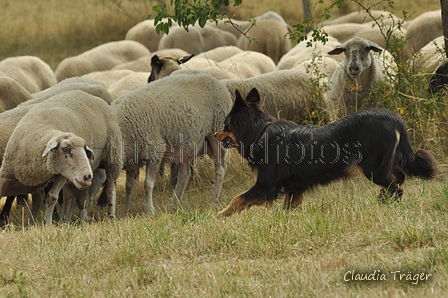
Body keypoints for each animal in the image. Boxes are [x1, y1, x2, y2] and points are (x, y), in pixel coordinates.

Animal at [112, 70, 233, 214]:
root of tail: (214, 80)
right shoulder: (132, 161)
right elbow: (128, 187)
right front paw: (127, 210)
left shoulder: (155, 152)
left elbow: (147, 185)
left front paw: (150, 211)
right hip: (185, 148)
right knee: (184, 175)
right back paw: (173, 204)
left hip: (216, 133)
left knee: (220, 168)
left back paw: (213, 199)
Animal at [214, 87, 438, 215]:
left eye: (225, 125)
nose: (215, 134)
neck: (259, 132)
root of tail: (395, 118)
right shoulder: (295, 187)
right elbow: (288, 208)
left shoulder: (266, 185)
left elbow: (237, 199)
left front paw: (220, 215)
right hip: (384, 164)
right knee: (399, 178)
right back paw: (382, 198)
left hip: (373, 168)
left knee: (397, 188)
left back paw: (386, 202)